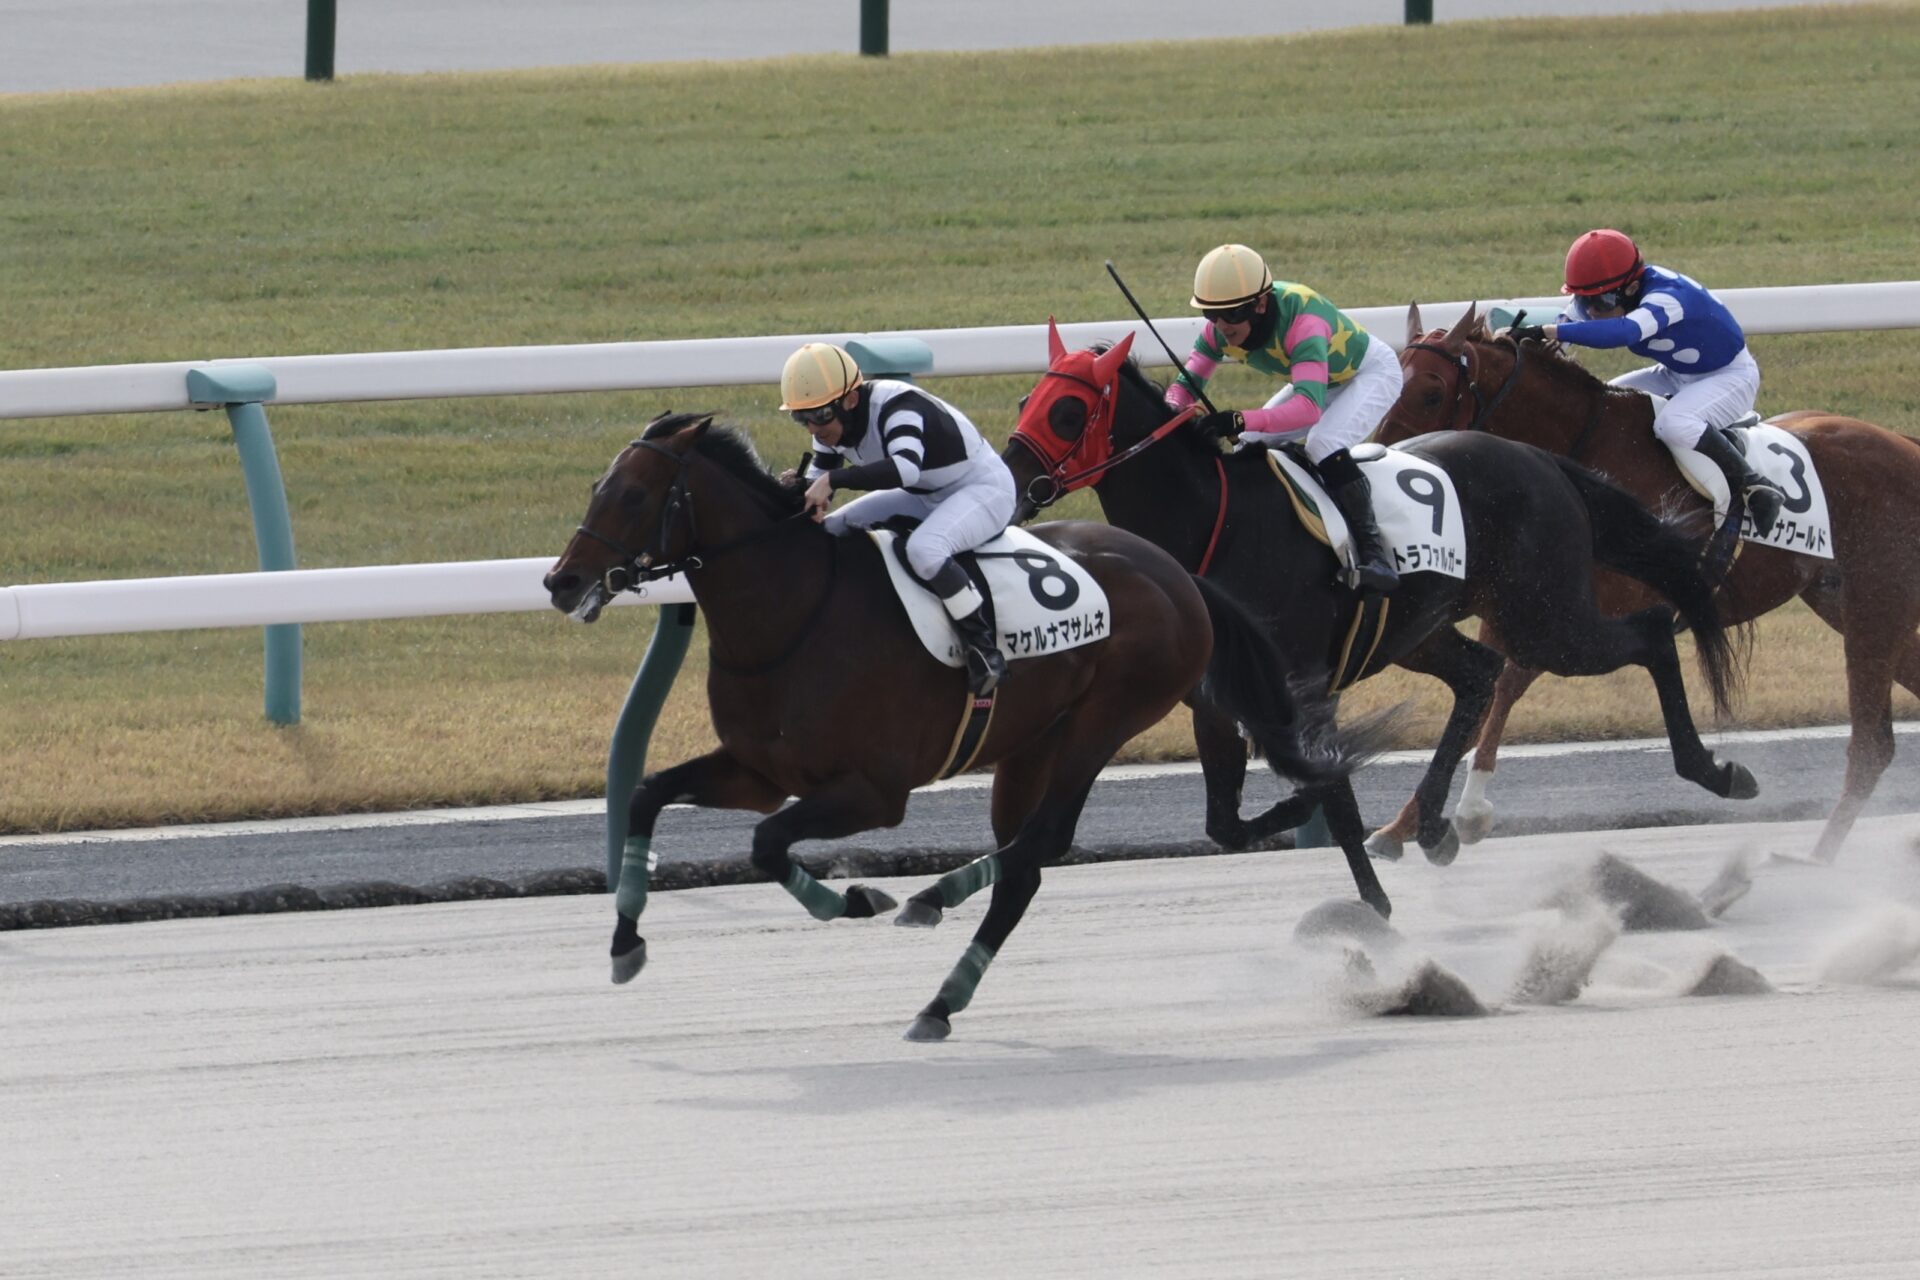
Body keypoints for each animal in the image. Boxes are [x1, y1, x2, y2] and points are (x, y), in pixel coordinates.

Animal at [541, 412, 1367, 1043]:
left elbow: (767, 844)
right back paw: (940, 983)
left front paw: (857, 899)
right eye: (596, 487)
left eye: (635, 494)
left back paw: (932, 922)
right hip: (1031, 742)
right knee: (1027, 862)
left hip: (1104, 720)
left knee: (1038, 844)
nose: (561, 581)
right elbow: (649, 794)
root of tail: (1178, 574)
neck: (795, 610)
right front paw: (625, 941)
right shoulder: (759, 772)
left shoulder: (874, 793)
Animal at [1367, 308, 1920, 867]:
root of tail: (1906, 444)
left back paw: (1816, 859)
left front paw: (1467, 812)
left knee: (1871, 745)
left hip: (1877, 602)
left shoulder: (1576, 614)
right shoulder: (1518, 605)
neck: (1586, 451)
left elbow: (1505, 685)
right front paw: (1401, 827)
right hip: (1845, 602)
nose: (1384, 462)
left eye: (1431, 392)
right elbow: (1490, 688)